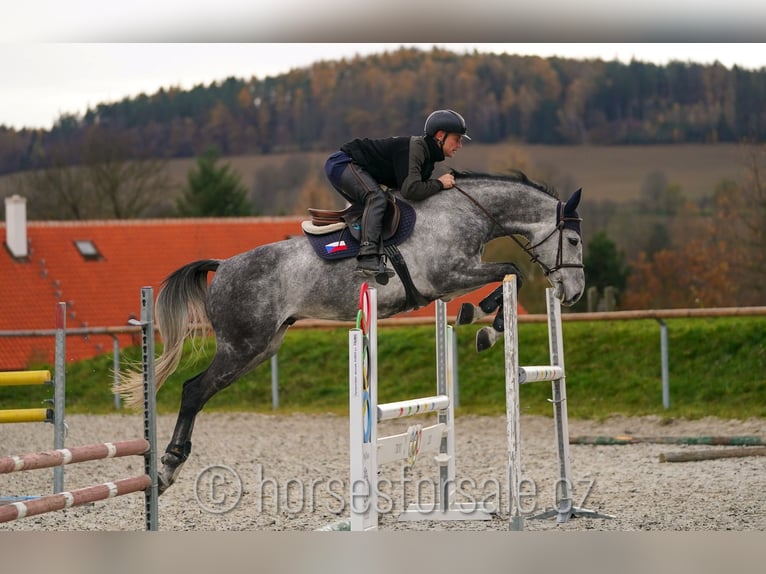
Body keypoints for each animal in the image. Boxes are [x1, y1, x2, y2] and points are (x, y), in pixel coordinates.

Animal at [117, 171, 584, 496]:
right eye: (576, 240)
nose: (574, 293)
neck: (464, 212)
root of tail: (224, 266)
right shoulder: (448, 275)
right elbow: (512, 270)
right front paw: (485, 323)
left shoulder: (453, 279)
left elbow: (507, 275)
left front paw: (481, 322)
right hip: (242, 345)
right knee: (194, 390)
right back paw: (167, 468)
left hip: (263, 347)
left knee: (199, 390)